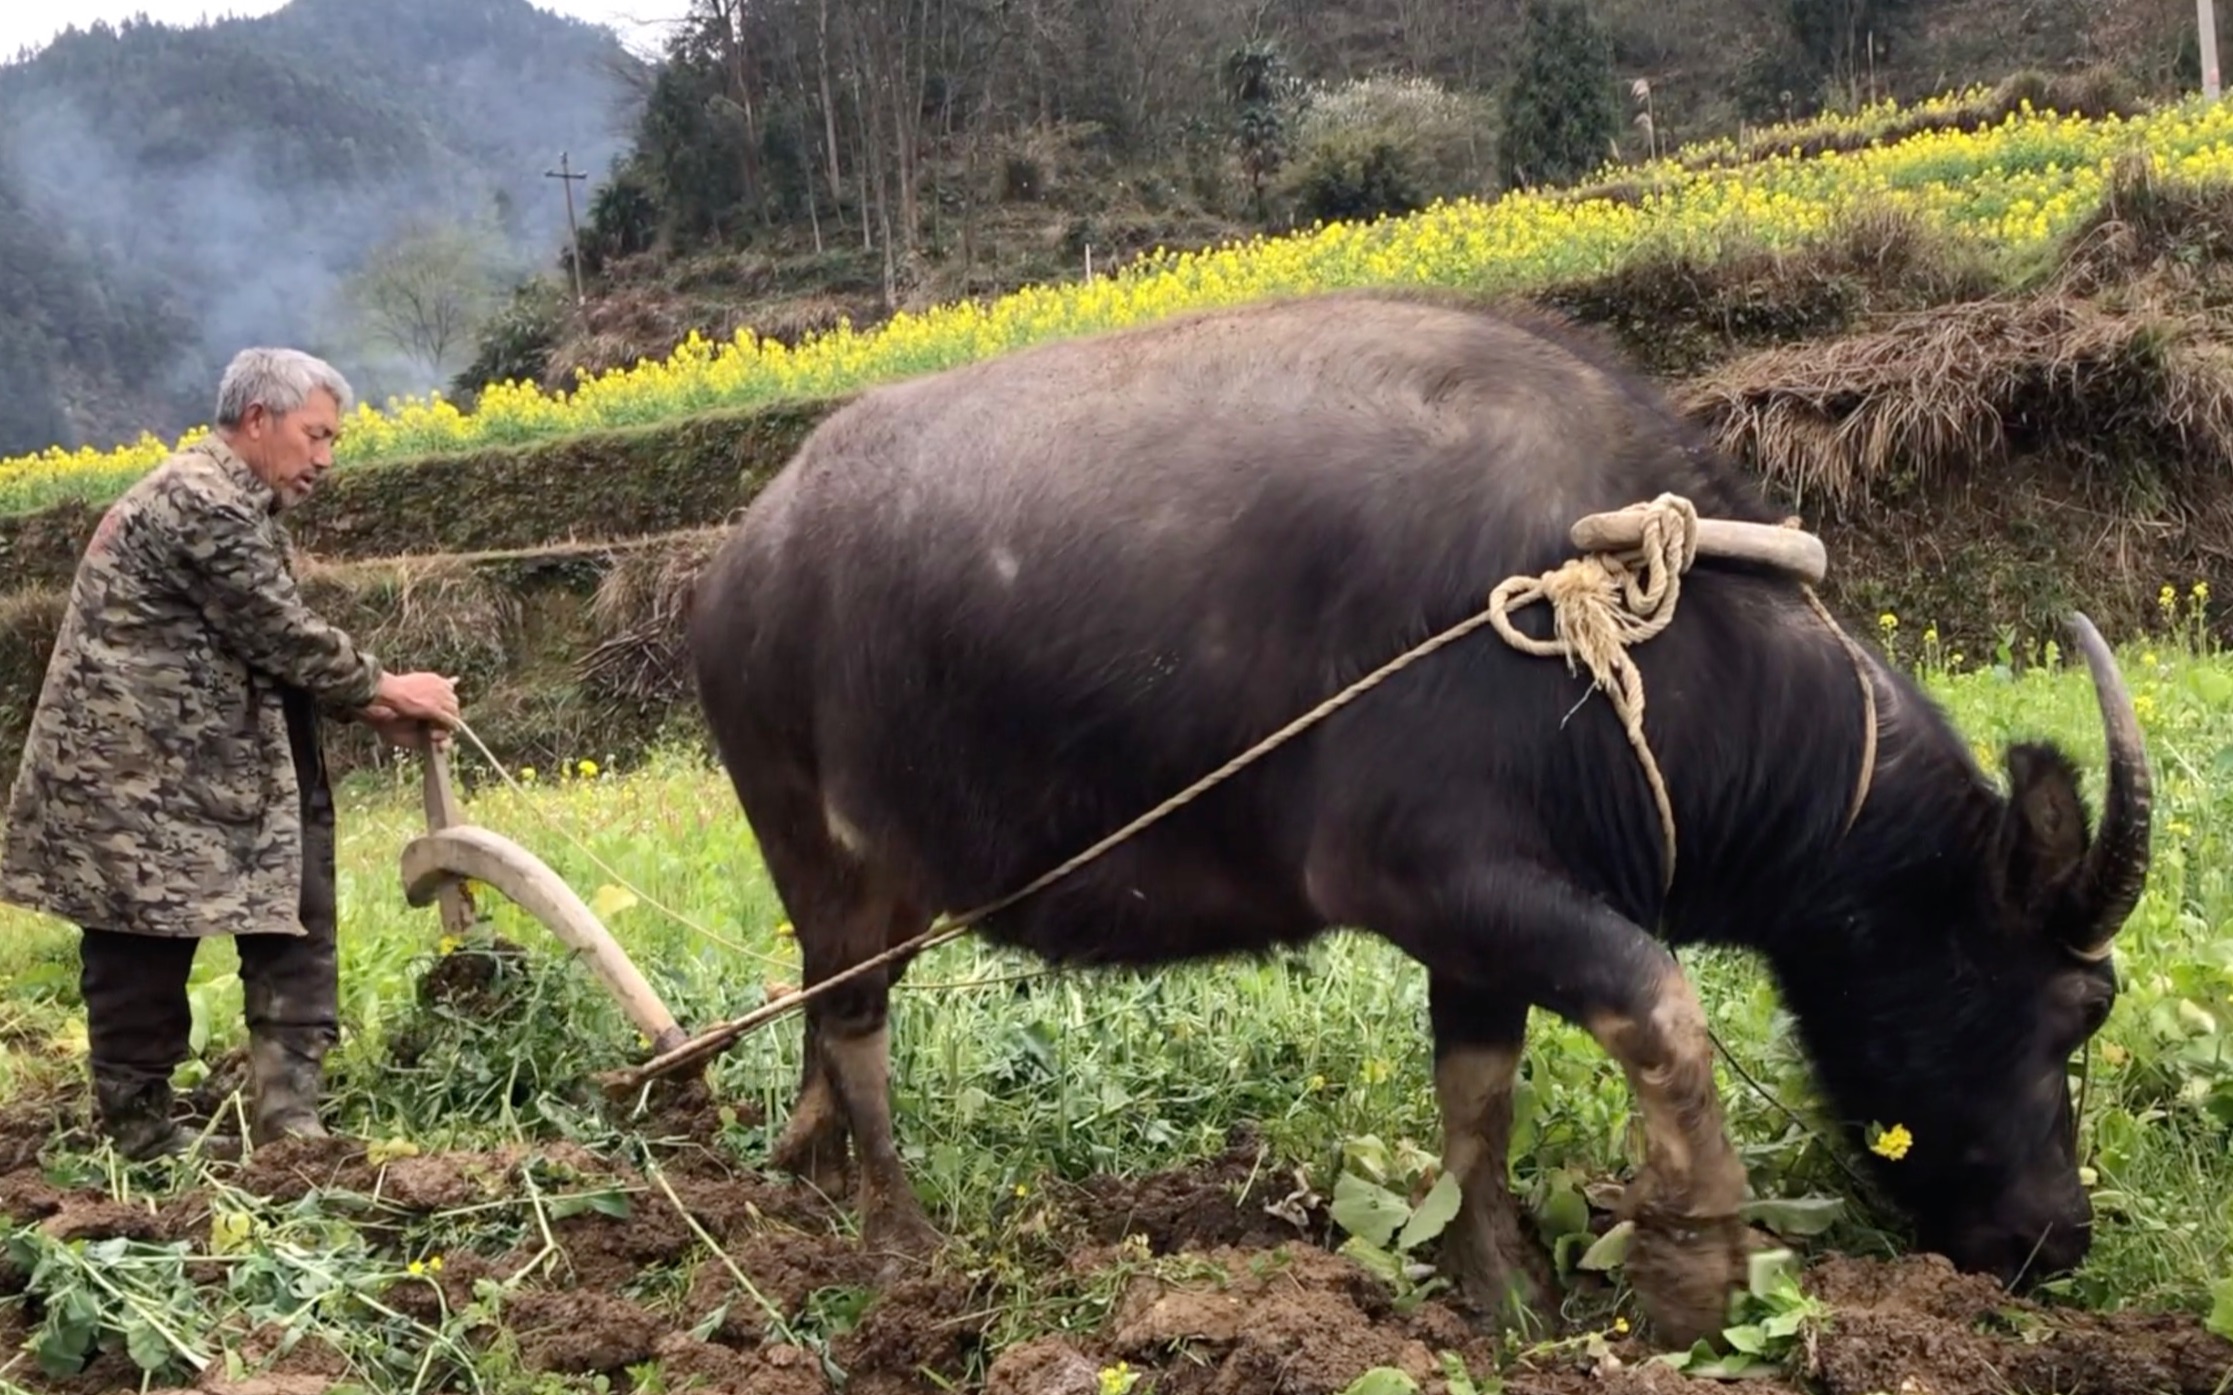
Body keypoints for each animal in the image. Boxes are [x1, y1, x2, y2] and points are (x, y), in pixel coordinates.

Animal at [678, 287, 2143, 1348]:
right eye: (2078, 1008)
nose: (2058, 1237)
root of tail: (740, 561)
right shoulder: (1423, 873)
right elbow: (1661, 1007)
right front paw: (1695, 1274)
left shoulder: (1481, 930)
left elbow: (1475, 1106)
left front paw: (1504, 1292)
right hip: (825, 857)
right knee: (856, 1031)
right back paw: (898, 1241)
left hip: (870, 889)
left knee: (821, 1010)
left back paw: (799, 1169)